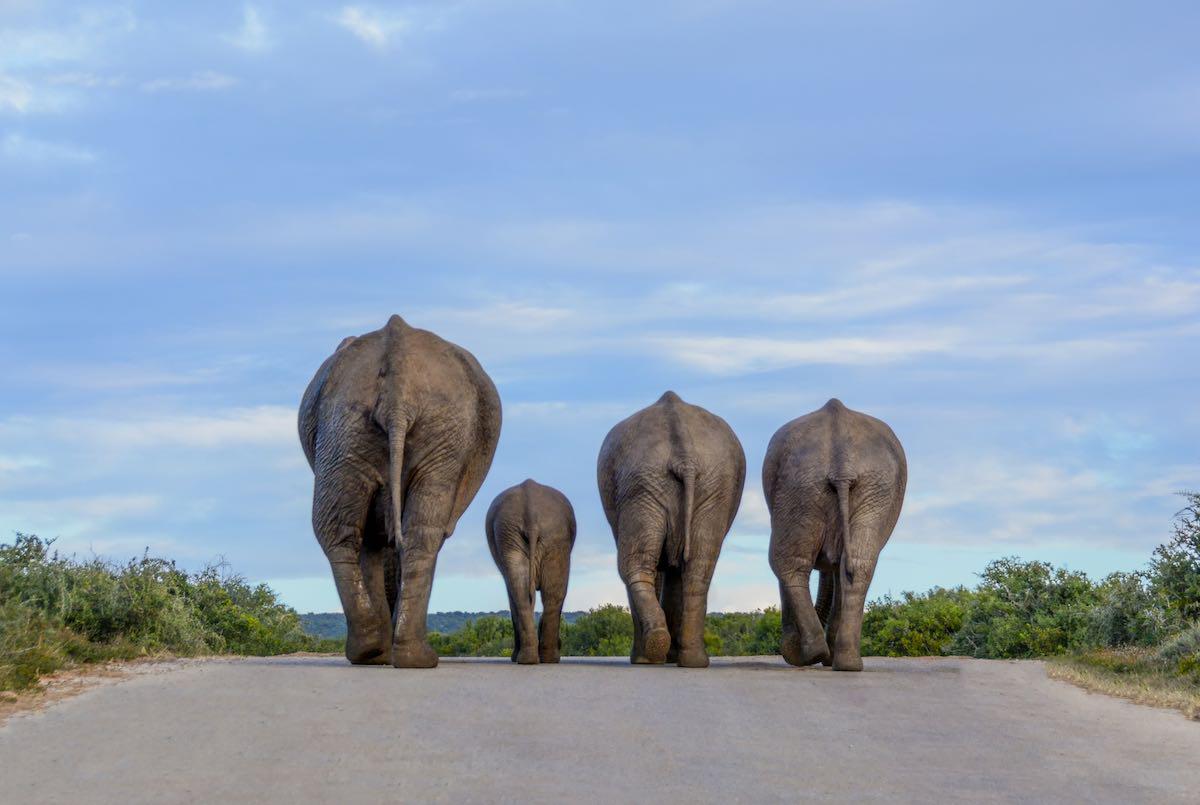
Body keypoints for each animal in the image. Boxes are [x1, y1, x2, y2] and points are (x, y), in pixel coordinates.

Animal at [485, 479, 576, 665]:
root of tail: (531, 511)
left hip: (529, 534)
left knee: (526, 592)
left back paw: (535, 659)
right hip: (524, 534)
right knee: (547, 593)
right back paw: (537, 659)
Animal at [597, 391, 746, 668]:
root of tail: (684, 455)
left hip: (645, 483)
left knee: (635, 564)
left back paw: (653, 654)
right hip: (704, 485)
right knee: (698, 568)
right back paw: (691, 660)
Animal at [762, 398, 906, 671]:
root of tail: (843, 462)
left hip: (810, 485)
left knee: (789, 562)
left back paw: (826, 656)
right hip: (859, 486)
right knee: (854, 565)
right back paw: (841, 661)